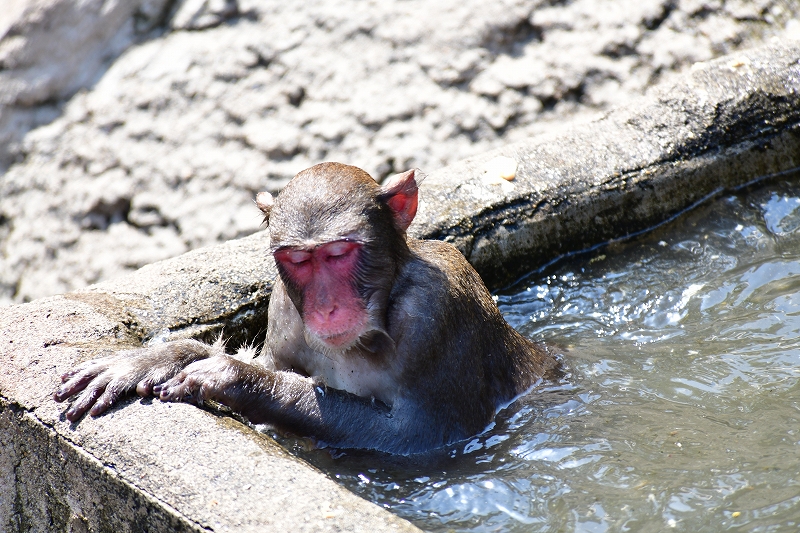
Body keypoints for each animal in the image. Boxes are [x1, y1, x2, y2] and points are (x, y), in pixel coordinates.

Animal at [53, 161, 560, 454]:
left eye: (338, 254)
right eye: (298, 260)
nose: (326, 307)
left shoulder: (436, 313)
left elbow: (419, 433)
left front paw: (236, 378)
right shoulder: (283, 306)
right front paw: (156, 359)